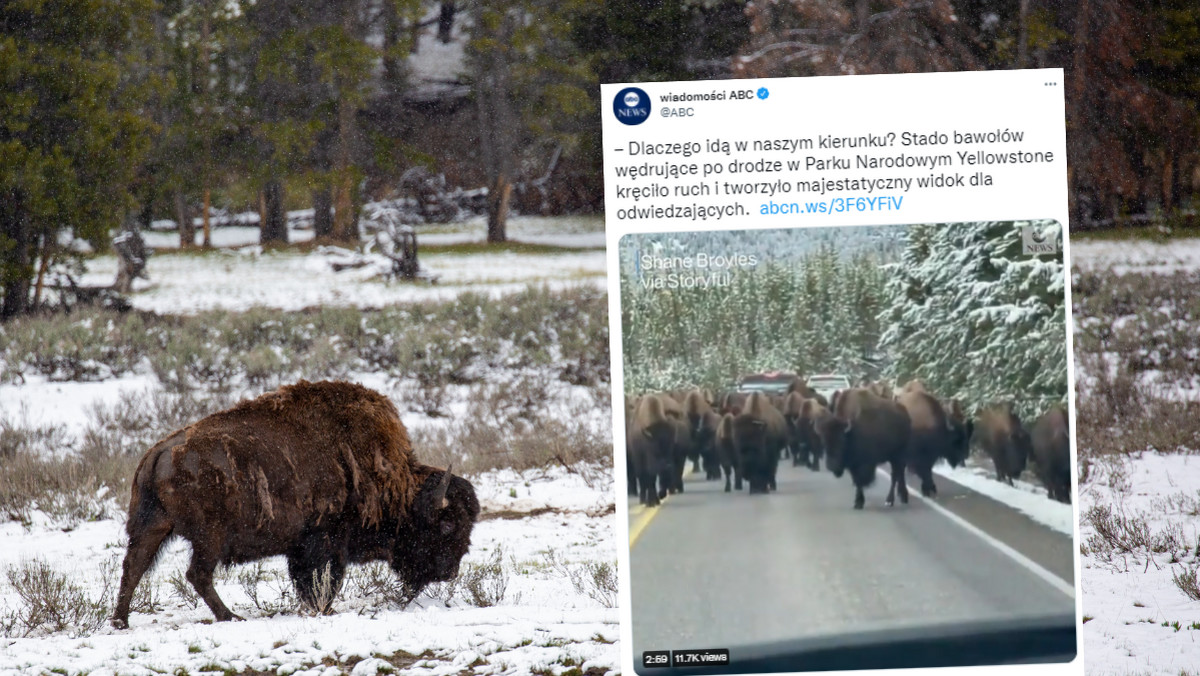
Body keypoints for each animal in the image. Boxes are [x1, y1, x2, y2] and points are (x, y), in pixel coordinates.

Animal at [111, 381, 477, 629]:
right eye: (447, 524)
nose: (450, 572)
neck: (395, 484)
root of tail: (160, 452)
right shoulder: (324, 542)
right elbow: (322, 579)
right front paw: (323, 608)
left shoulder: (303, 547)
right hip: (209, 537)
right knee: (196, 573)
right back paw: (231, 616)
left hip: (153, 527)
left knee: (134, 567)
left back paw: (120, 622)